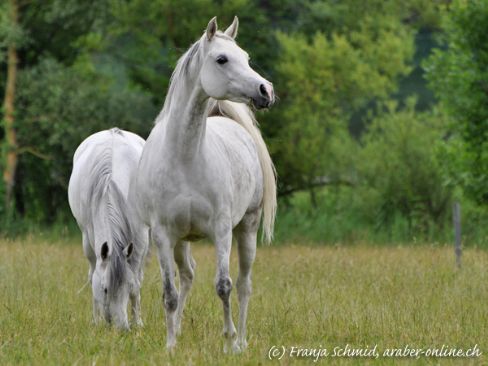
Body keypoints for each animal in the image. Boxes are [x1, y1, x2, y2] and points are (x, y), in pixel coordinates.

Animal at [68, 128, 149, 328]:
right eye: (105, 289)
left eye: (127, 287)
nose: (121, 328)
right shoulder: (89, 239)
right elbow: (92, 276)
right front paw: (96, 321)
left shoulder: (140, 238)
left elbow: (136, 282)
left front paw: (138, 323)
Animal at [132, 16, 276, 352]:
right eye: (221, 59)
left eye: (246, 57)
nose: (265, 90)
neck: (184, 158)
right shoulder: (163, 235)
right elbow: (169, 294)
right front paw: (170, 345)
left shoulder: (222, 230)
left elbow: (224, 286)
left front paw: (229, 341)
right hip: (181, 241)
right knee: (187, 275)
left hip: (247, 228)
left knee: (244, 285)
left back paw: (243, 341)